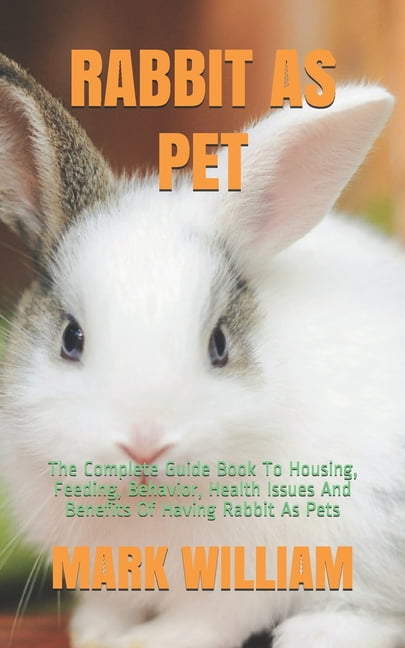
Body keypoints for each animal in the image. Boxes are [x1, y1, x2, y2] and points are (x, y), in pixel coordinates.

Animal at [0, 51, 404, 648]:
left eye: (218, 345)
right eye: (71, 338)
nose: (145, 445)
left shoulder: (248, 573)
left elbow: (206, 619)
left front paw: (146, 641)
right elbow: (107, 604)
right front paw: (96, 633)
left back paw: (315, 631)